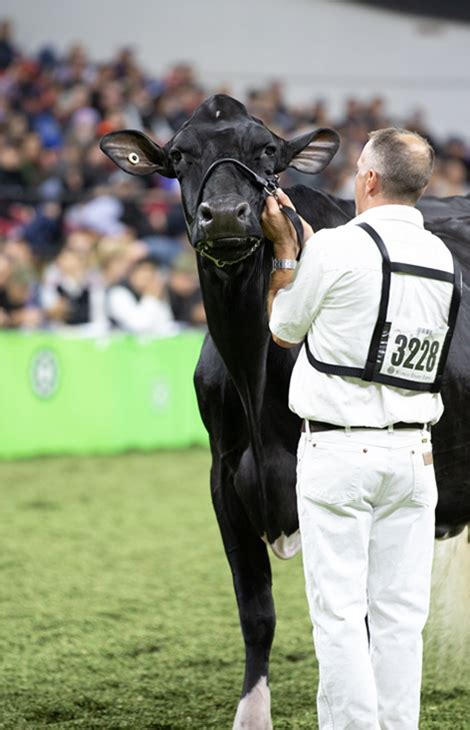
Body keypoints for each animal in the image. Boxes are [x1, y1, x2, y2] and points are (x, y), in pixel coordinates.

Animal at [102, 94, 470, 724]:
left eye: (268, 151)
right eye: (178, 154)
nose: (226, 216)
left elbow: (357, 623)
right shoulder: (226, 478)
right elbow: (257, 612)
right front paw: (251, 715)